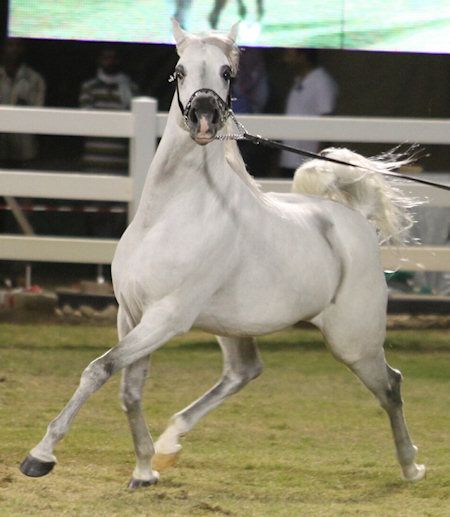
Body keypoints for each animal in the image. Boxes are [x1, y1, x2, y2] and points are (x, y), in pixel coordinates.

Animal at [20, 20, 426, 488]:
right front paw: (144, 470)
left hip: (353, 342)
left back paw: (411, 466)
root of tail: (354, 220)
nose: (203, 117)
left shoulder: (166, 317)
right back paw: (168, 446)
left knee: (391, 385)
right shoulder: (132, 314)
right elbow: (129, 388)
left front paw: (40, 456)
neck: (170, 214)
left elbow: (100, 369)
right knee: (244, 371)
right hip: (234, 327)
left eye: (227, 73)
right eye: (178, 70)